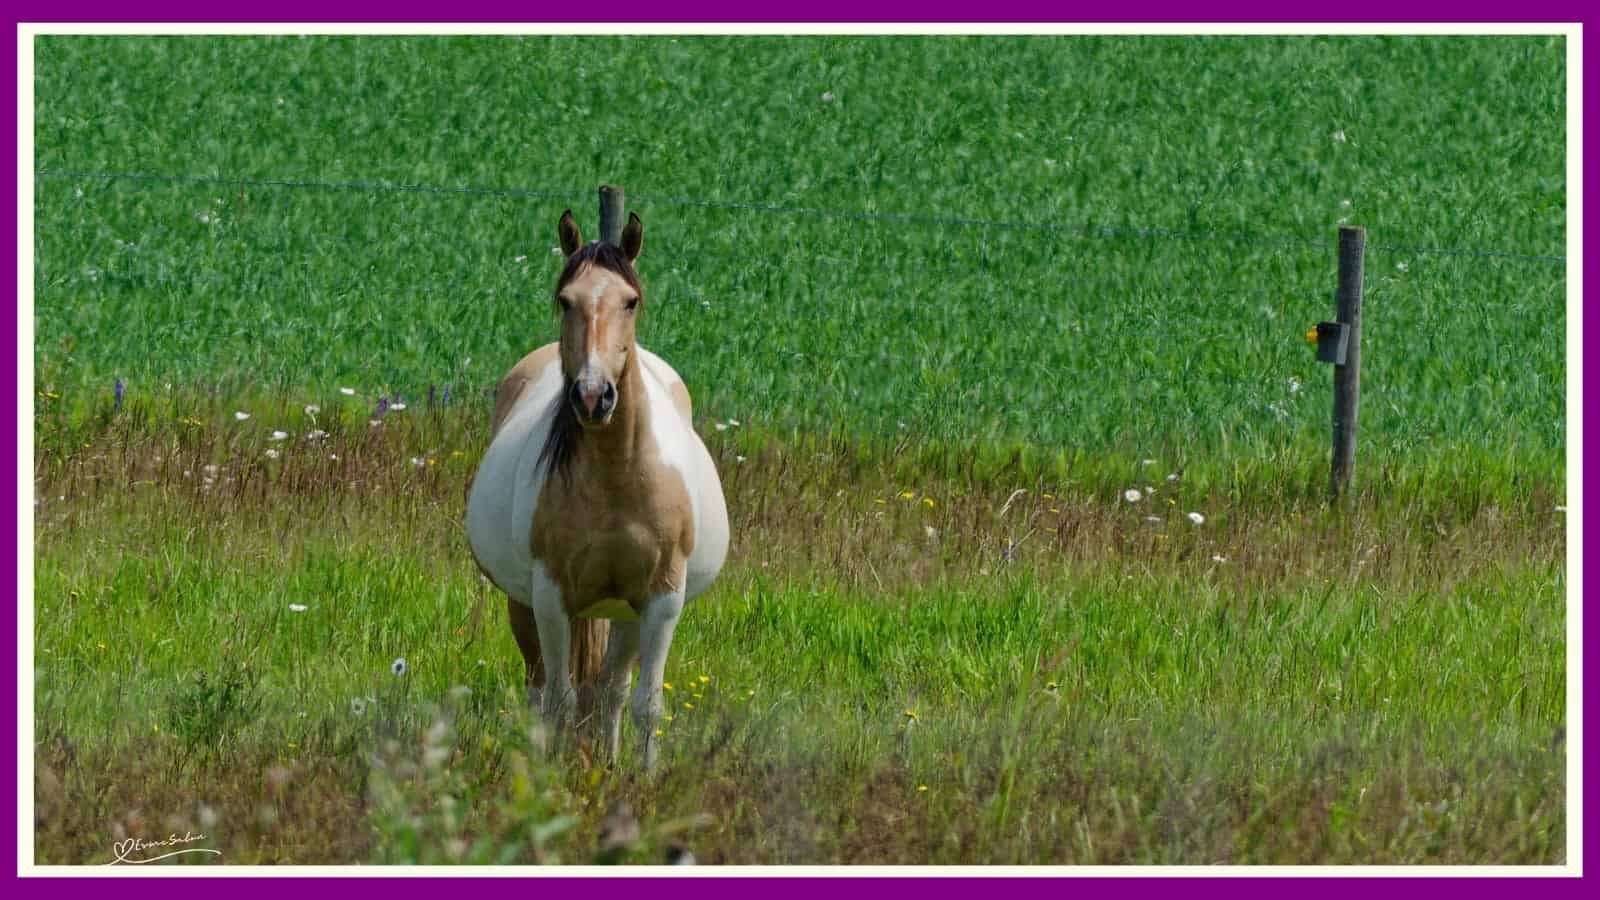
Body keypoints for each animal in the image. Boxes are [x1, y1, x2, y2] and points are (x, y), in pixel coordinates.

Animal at [466, 210, 729, 770]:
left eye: (630, 301)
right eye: (566, 299)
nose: (592, 396)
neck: (617, 478)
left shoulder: (662, 598)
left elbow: (645, 704)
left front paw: (643, 779)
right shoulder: (550, 595)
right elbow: (561, 701)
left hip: (627, 612)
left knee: (611, 688)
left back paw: (607, 764)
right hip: (523, 603)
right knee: (540, 688)